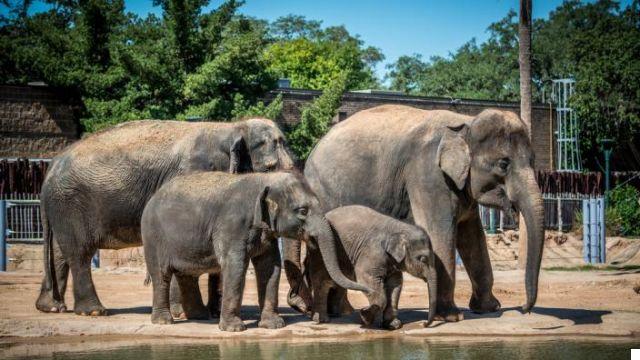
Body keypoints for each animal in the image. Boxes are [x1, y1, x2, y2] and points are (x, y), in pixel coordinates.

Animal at [37, 117, 292, 316]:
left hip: (62, 206)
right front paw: (185, 313)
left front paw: (211, 312)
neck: (232, 127)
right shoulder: (193, 175)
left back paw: (51, 307)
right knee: (79, 253)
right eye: (270, 169)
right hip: (70, 204)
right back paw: (93, 311)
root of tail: (51, 166)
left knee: (60, 252)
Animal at [140, 172, 370, 332]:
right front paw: (234, 329)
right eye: (303, 211)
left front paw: (274, 325)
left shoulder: (266, 232)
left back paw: (200, 317)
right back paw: (164, 321)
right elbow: (236, 266)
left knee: (186, 276)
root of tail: (151, 199)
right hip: (153, 237)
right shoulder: (231, 225)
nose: (366, 291)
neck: (264, 179)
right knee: (161, 275)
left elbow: (270, 268)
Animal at [304, 205, 436, 330]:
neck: (398, 226)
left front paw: (392, 325)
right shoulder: (372, 252)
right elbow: (366, 278)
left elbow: (395, 284)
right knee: (322, 282)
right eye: (423, 259)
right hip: (318, 252)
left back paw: (337, 314)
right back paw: (322, 319)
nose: (424, 324)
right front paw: (365, 317)